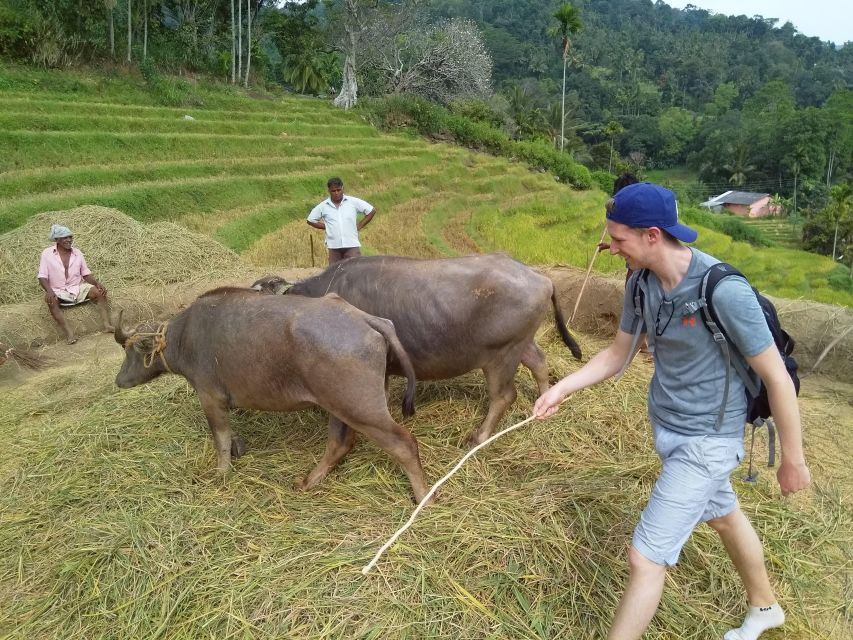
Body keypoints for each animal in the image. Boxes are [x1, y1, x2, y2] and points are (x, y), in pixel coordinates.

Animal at [116, 288, 430, 502]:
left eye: (131, 352)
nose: (119, 381)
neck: (184, 336)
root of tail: (366, 319)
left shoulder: (209, 397)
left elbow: (220, 439)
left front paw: (221, 473)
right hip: (337, 406)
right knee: (340, 443)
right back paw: (309, 481)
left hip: (360, 408)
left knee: (404, 444)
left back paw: (423, 497)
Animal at [253, 254, 584, 444]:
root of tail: (540, 277)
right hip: (521, 343)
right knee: (539, 362)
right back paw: (543, 405)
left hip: (501, 354)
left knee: (503, 396)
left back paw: (478, 437)